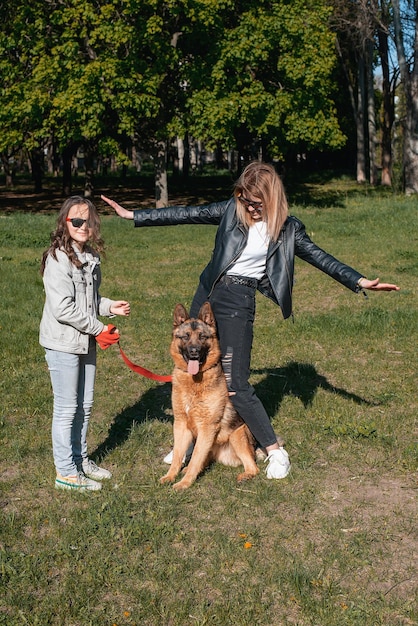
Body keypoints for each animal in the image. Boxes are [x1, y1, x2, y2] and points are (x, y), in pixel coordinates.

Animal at [160, 302, 258, 488]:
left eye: (202, 336)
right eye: (185, 337)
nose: (194, 352)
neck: (194, 382)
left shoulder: (207, 428)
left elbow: (195, 459)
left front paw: (184, 484)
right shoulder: (181, 425)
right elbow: (178, 456)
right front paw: (170, 476)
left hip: (237, 435)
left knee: (253, 467)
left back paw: (246, 475)